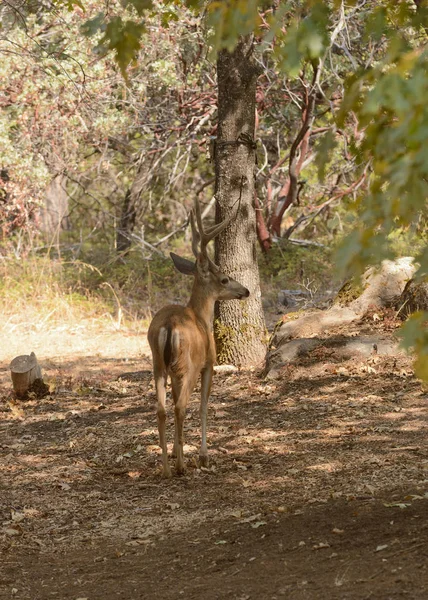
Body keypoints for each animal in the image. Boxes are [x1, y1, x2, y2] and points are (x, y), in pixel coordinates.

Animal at [147, 199, 249, 476]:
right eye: (224, 278)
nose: (245, 290)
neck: (201, 316)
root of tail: (170, 325)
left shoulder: (174, 372)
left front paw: (174, 450)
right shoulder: (209, 364)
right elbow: (204, 406)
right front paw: (202, 455)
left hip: (158, 364)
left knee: (162, 408)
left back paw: (166, 467)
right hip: (189, 364)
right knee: (181, 406)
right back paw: (181, 467)